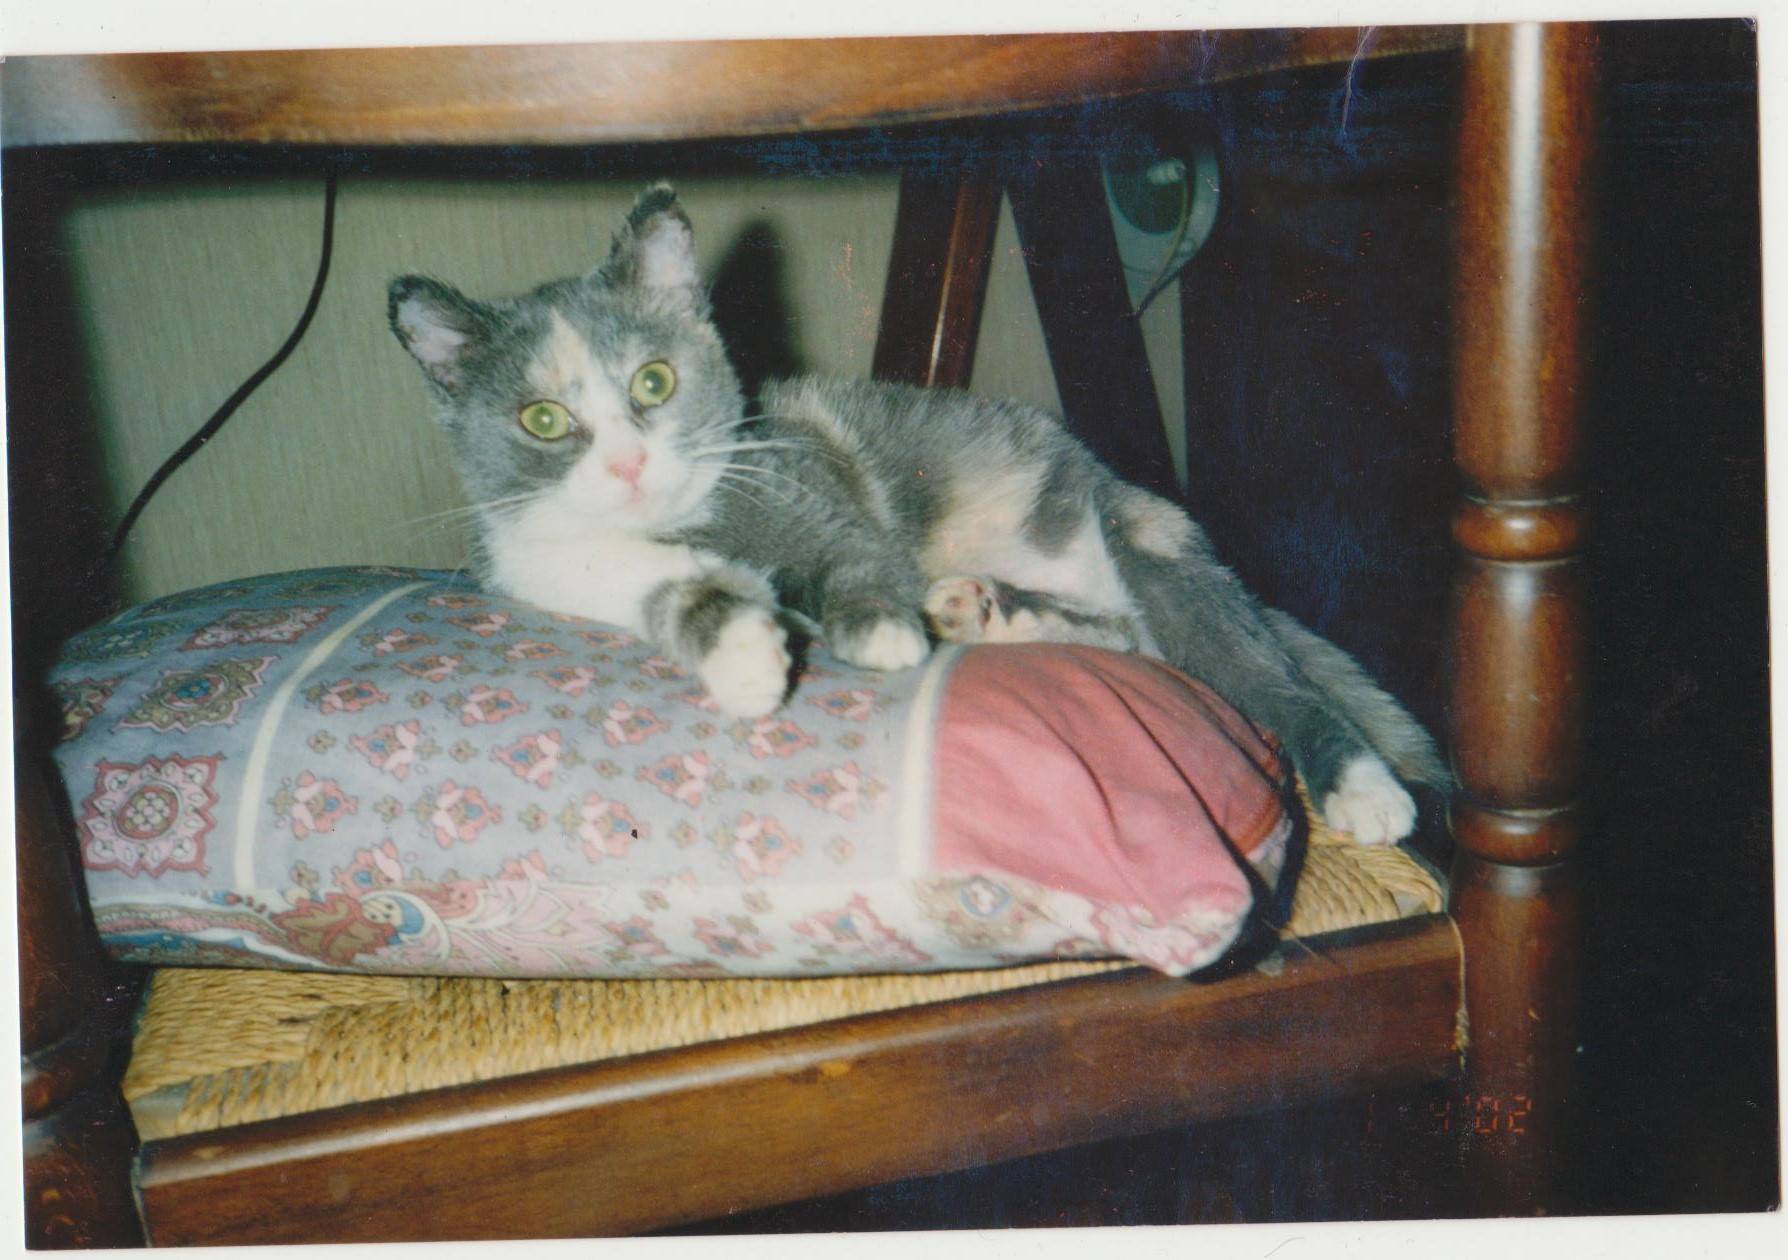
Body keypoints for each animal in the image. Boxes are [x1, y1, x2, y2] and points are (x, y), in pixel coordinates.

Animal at [389, 184, 1447, 846]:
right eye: (542, 419)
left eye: (654, 380)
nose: (628, 461)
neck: (679, 524)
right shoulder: (548, 566)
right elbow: (660, 590)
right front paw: (742, 652)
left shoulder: (807, 480)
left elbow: (851, 549)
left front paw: (879, 630)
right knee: (1140, 643)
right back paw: (989, 611)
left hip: (1153, 541)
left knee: (1256, 676)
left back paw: (1362, 786)